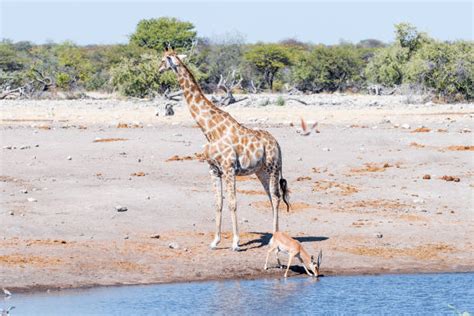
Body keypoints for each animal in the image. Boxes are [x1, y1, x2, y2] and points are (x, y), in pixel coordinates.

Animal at [158, 47, 288, 251]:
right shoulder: (213, 169)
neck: (209, 129)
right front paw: (215, 241)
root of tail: (277, 143)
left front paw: (236, 242)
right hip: (261, 171)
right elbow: (218, 203)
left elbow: (232, 203)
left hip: (273, 168)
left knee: (275, 198)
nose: (158, 70)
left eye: (164, 59)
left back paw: (274, 238)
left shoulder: (228, 168)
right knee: (270, 197)